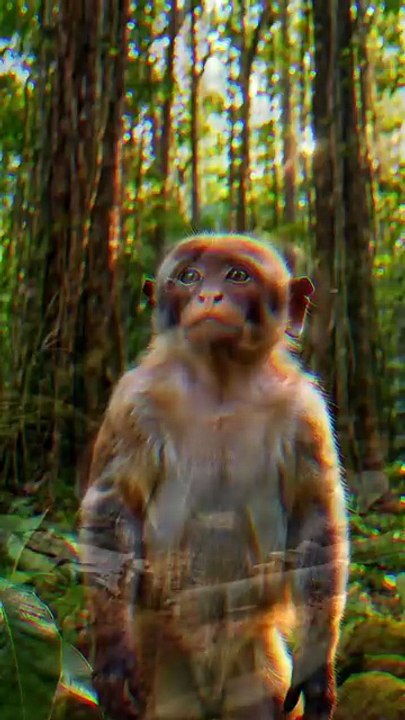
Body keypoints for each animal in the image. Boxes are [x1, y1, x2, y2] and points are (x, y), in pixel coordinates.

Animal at [80, 234, 349, 720]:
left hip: (255, 667)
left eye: (236, 275)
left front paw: (317, 669)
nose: (208, 296)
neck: (221, 379)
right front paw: (111, 658)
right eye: (189, 276)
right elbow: (113, 512)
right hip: (164, 665)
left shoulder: (306, 413)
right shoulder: (133, 403)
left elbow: (316, 524)